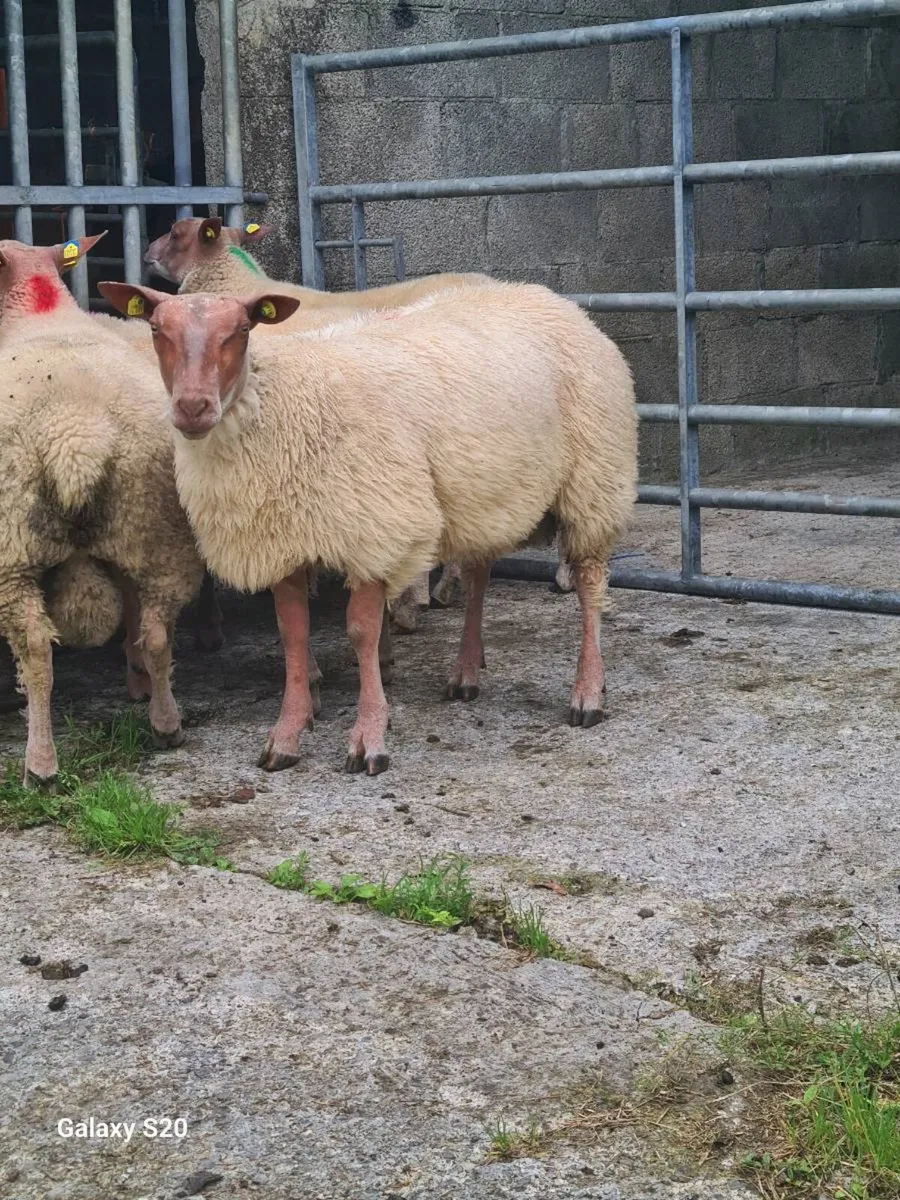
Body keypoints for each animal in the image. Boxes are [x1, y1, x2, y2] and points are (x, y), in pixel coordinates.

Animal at [0, 237, 206, 785]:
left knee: (35, 649)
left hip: (11, 548)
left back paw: (40, 766)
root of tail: (77, 433)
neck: (40, 307)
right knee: (156, 633)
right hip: (157, 525)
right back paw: (166, 724)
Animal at [101, 278, 637, 777]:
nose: (193, 407)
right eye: (156, 329)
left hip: (594, 478)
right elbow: (292, 636)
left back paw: (588, 692)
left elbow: (361, 632)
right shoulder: (283, 539)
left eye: (242, 330)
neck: (280, 408)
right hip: (486, 495)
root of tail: (553, 299)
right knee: (480, 576)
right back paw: (466, 672)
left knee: (590, 583)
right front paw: (286, 736)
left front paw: (368, 738)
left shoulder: (377, 527)